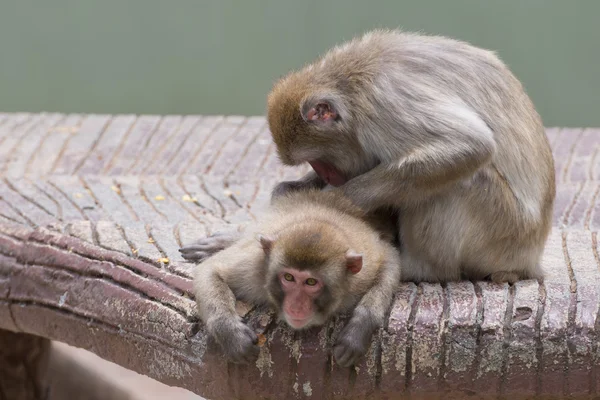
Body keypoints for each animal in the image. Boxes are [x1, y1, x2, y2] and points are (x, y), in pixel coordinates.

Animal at [186, 189, 404, 368]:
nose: (296, 306)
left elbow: (390, 260)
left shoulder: (365, 268)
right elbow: (211, 270)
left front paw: (358, 331)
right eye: (289, 277)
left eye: (311, 282)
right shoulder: (254, 268)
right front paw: (232, 334)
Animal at [264, 28, 556, 284]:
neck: (349, 85)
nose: (325, 175)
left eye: (319, 160)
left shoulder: (382, 102)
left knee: (464, 180)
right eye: (313, 163)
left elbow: (469, 144)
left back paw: (420, 269)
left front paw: (329, 201)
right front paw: (293, 187)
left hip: (504, 234)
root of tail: (529, 260)